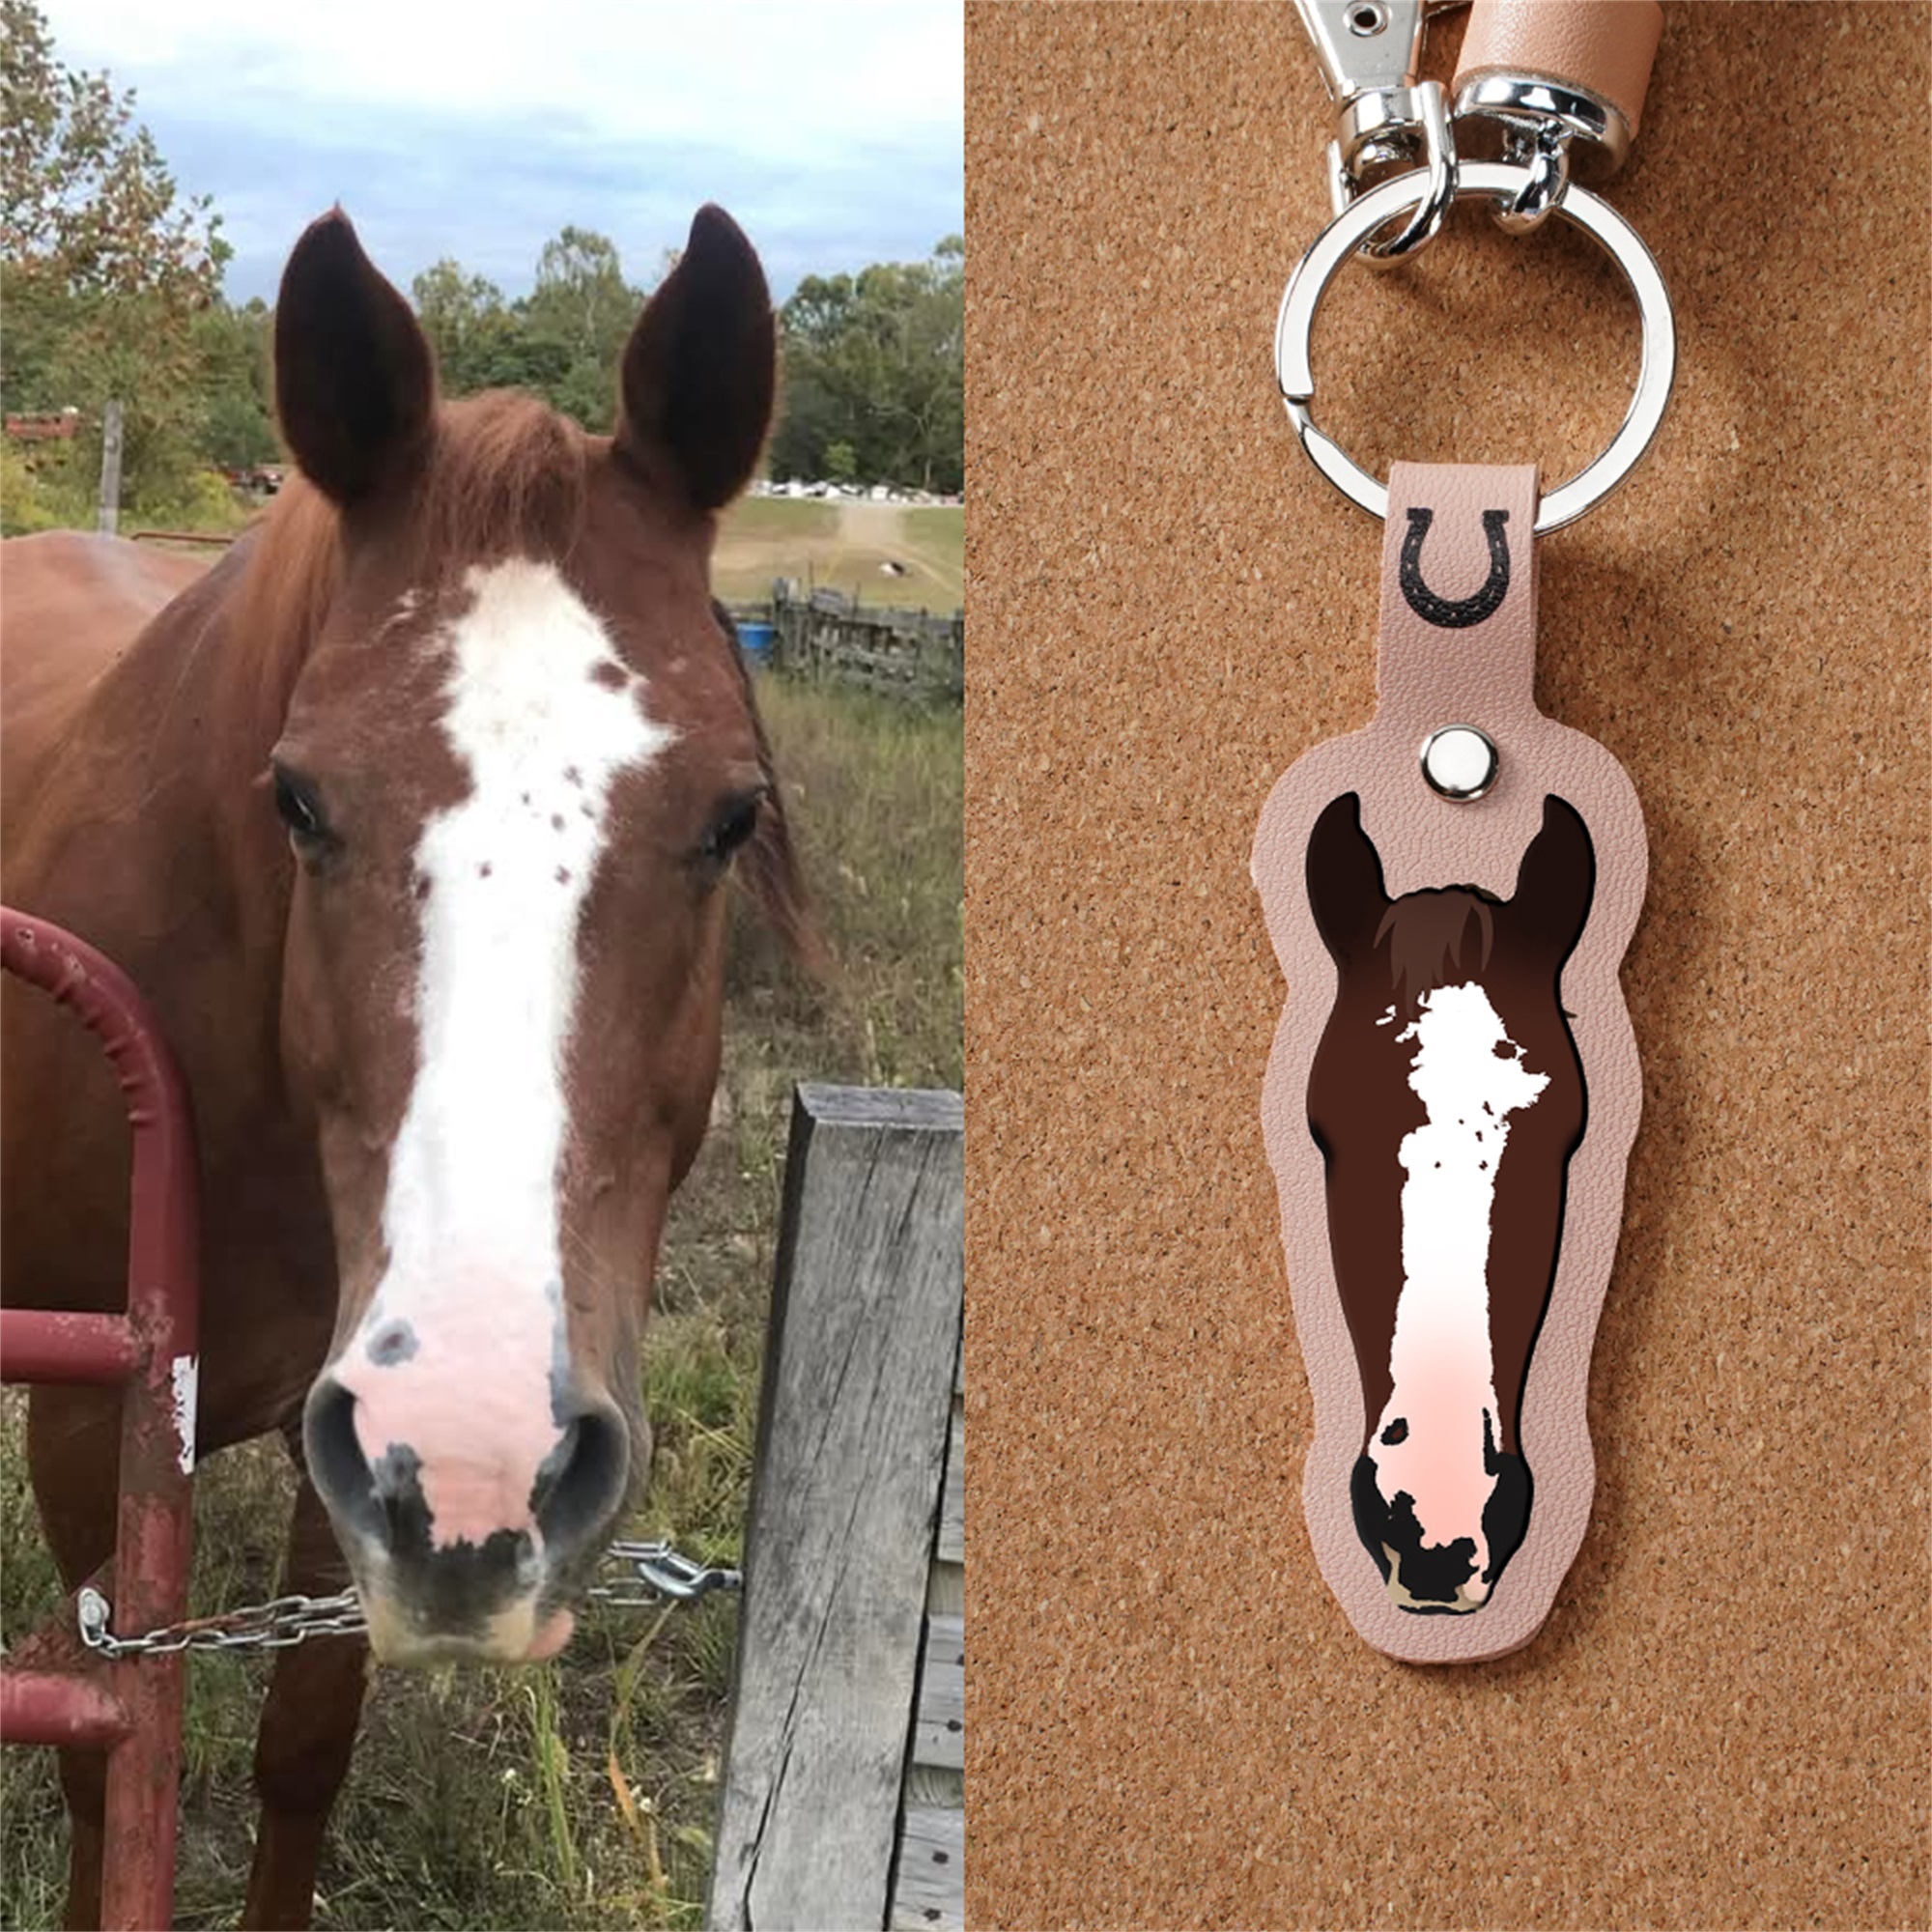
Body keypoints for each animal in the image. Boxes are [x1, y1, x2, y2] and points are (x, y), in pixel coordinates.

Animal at [1, 201, 809, 1928]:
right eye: (300, 801)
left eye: (730, 818)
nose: (497, 1453)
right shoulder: (97, 1432)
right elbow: (105, 1751)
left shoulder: (360, 1467)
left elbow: (305, 1735)